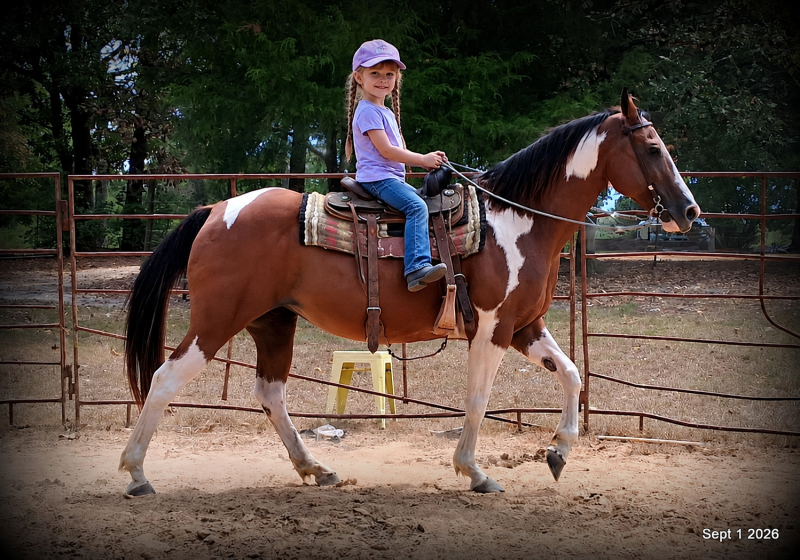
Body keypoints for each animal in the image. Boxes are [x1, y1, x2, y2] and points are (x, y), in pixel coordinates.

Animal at [120, 89, 700, 496]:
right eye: (653, 148)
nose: (689, 210)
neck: (516, 222)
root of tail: (215, 210)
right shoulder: (492, 329)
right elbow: (478, 398)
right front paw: (474, 472)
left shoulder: (525, 327)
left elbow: (573, 375)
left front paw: (558, 452)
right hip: (216, 320)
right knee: (165, 379)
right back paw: (136, 474)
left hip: (273, 322)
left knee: (269, 393)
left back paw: (316, 468)